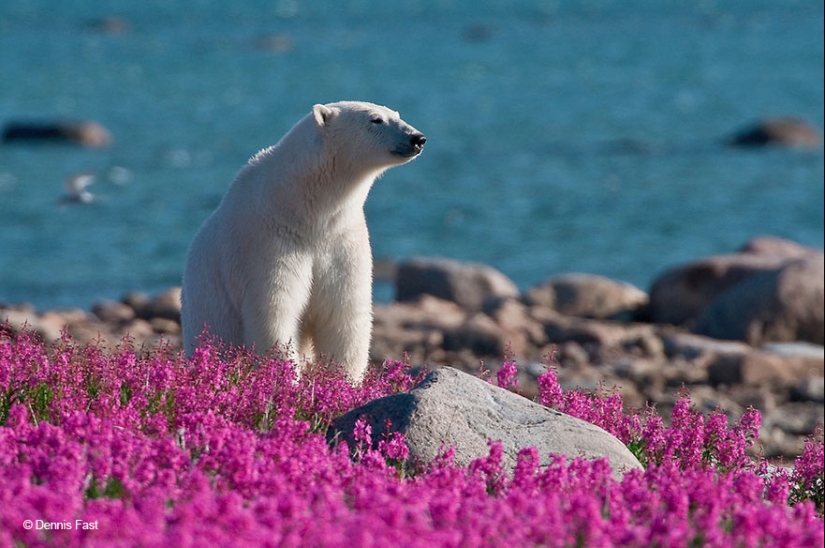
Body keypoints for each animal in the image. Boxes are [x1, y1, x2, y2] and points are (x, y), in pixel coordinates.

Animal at [181, 101, 426, 383]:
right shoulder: (267, 242)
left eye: (396, 114)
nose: (417, 138)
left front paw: (344, 382)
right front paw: (287, 380)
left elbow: (343, 314)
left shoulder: (342, 240)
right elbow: (275, 313)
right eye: (375, 119)